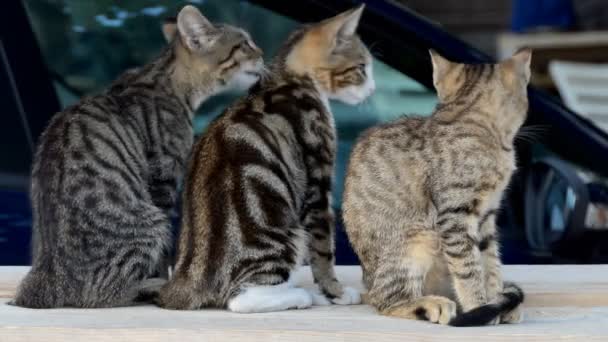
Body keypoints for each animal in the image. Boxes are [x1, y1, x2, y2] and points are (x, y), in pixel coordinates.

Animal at [13, 4, 262, 310]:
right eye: (244, 44)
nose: (262, 53)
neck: (168, 81)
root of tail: (47, 278)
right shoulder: (163, 176)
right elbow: (165, 255)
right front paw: (164, 277)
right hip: (149, 222)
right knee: (102, 295)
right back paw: (147, 286)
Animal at [158, 4, 376, 312]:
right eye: (361, 68)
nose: (372, 90)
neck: (288, 78)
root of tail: (187, 279)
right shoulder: (317, 179)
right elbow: (323, 248)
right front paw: (336, 291)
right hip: (285, 234)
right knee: (241, 299)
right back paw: (302, 296)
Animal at [342, 48, 532, 326]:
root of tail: (368, 283)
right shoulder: (454, 216)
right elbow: (468, 268)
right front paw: (479, 307)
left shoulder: (487, 217)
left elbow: (491, 263)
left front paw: (495, 300)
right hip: (415, 240)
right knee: (385, 299)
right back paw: (429, 304)